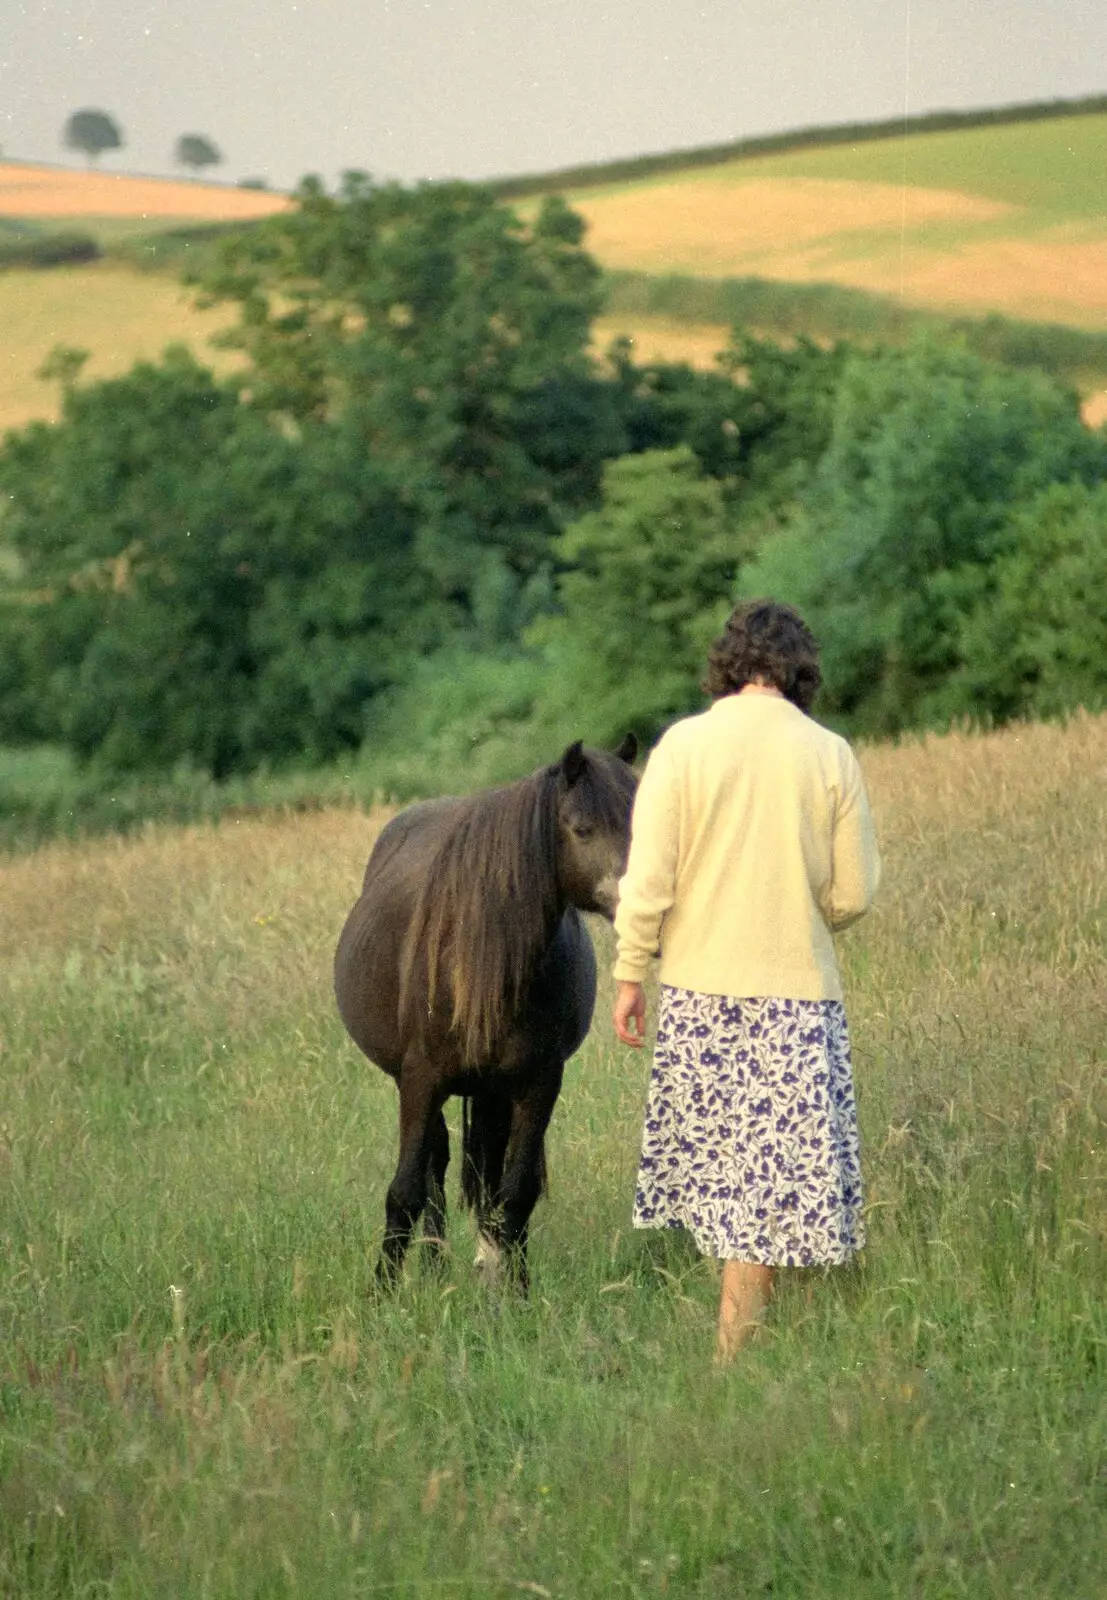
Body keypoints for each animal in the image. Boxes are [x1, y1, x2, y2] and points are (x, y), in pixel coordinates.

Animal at [332, 736, 636, 1286]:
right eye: (582, 829)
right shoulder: (420, 1078)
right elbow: (404, 1190)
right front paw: (383, 1289)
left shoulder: (538, 1082)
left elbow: (516, 1192)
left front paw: (514, 1290)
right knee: (435, 1163)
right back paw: (433, 1265)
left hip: (494, 1088)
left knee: (488, 1170)